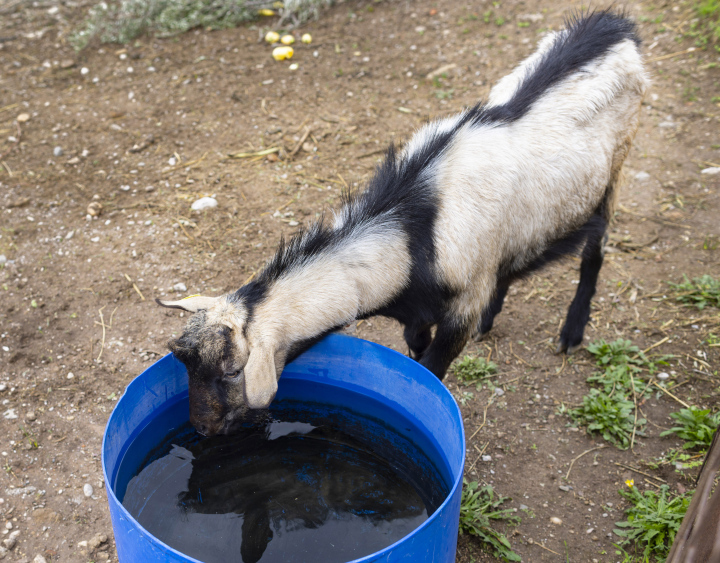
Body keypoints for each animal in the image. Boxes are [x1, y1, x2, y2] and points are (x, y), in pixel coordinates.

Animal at [158, 10, 648, 436]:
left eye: (232, 371)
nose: (202, 428)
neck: (413, 228)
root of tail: (615, 23)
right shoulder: (417, 311)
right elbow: (416, 346)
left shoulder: (461, 306)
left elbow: (432, 370)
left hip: (617, 168)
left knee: (594, 251)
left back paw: (572, 330)